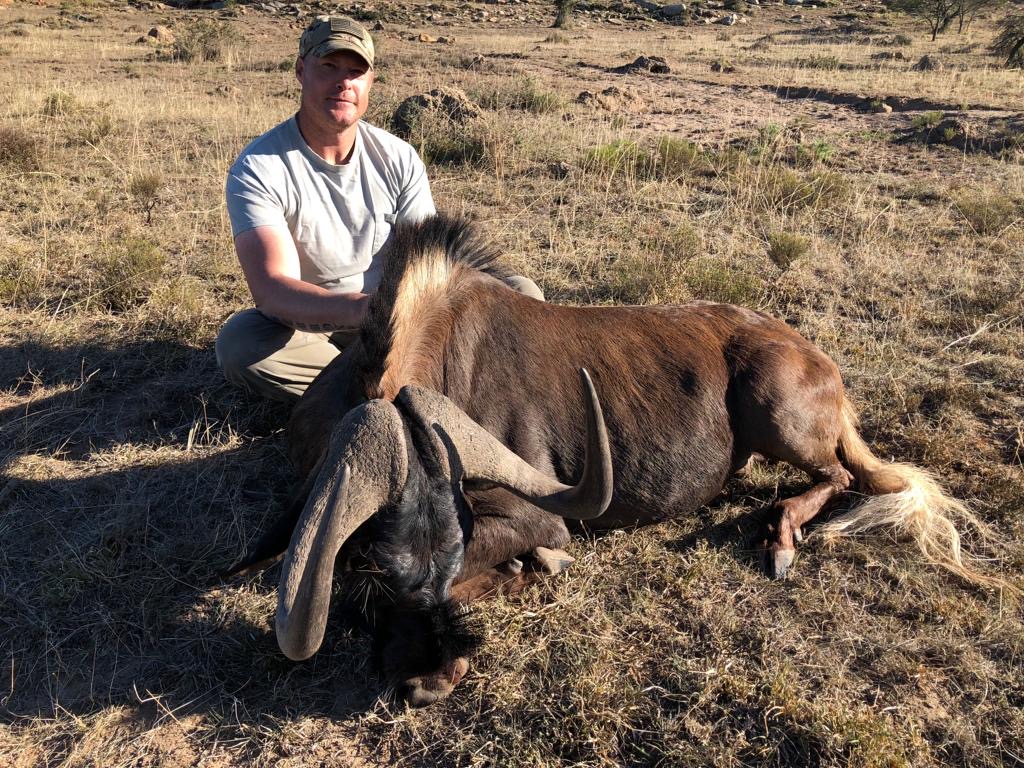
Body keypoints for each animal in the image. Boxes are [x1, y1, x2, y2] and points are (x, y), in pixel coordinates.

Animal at [229, 214, 991, 707]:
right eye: (375, 569)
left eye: (446, 561)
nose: (426, 685)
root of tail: (819, 363)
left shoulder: (542, 518)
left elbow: (519, 557)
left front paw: (528, 571)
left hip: (778, 409)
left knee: (836, 475)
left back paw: (780, 537)